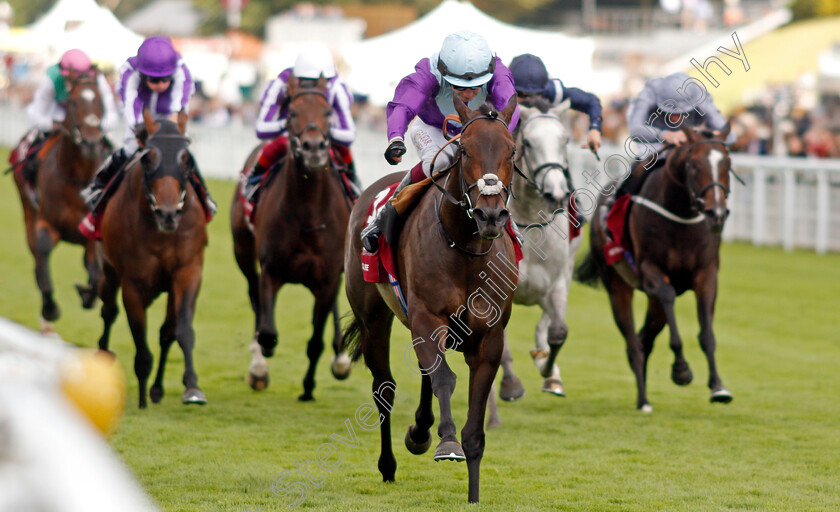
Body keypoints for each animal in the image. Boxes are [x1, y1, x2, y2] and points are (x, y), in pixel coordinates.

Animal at [12, 74, 111, 334]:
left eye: (101, 102)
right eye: (73, 102)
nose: (91, 140)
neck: (76, 179)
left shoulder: (91, 235)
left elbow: (95, 271)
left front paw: (88, 294)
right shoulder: (47, 223)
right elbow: (44, 252)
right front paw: (50, 309)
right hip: (28, 209)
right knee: (36, 255)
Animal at [94, 111, 207, 408]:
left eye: (186, 158)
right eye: (148, 159)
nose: (168, 213)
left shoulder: (188, 271)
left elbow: (181, 331)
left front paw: (192, 387)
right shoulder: (133, 283)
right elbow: (140, 341)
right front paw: (143, 398)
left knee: (167, 331)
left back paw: (157, 389)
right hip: (109, 271)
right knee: (108, 311)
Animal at [228, 76, 352, 400]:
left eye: (328, 113)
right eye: (293, 112)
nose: (314, 147)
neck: (307, 214)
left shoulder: (327, 277)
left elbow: (315, 341)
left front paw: (308, 388)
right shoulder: (271, 270)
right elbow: (268, 330)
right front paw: (261, 363)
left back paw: (341, 357)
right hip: (242, 252)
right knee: (253, 295)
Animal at [342, 96, 520, 504]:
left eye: (512, 151)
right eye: (465, 149)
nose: (490, 214)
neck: (466, 250)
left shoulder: (489, 337)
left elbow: (474, 417)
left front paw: (473, 491)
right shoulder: (427, 317)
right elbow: (443, 378)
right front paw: (447, 443)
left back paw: (420, 431)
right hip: (373, 317)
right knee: (384, 389)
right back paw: (389, 464)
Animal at [576, 124, 736, 412]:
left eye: (727, 163)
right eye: (694, 165)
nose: (716, 214)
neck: (681, 216)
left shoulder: (706, 275)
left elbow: (707, 333)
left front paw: (718, 386)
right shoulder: (651, 272)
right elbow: (668, 298)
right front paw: (681, 370)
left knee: (645, 339)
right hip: (617, 285)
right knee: (633, 343)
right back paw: (643, 400)